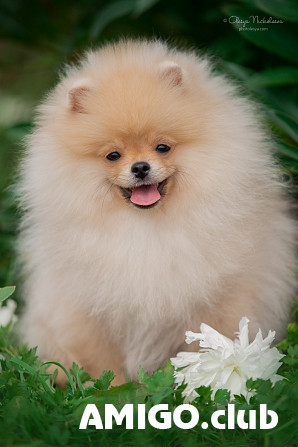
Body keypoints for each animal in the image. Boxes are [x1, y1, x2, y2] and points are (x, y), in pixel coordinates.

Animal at [19, 40, 296, 386]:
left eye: (162, 147)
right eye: (113, 155)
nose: (140, 167)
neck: (145, 227)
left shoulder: (218, 299)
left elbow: (209, 345)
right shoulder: (88, 310)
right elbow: (103, 364)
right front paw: (115, 390)